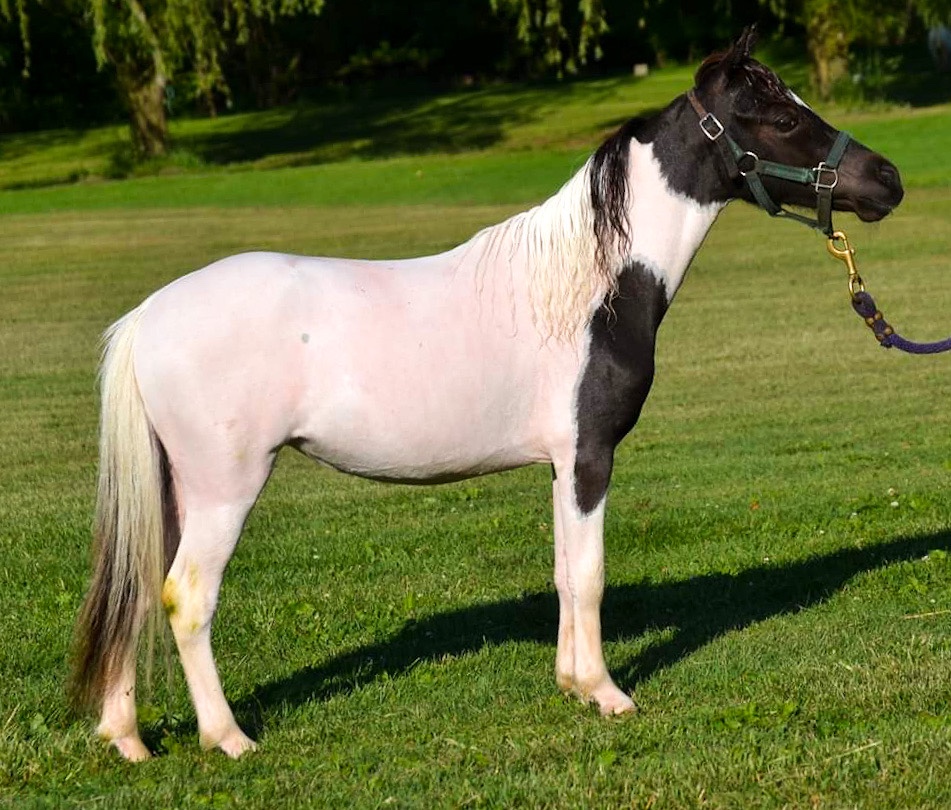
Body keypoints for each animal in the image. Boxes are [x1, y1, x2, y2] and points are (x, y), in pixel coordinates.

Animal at [70, 29, 904, 761]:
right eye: (782, 117)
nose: (887, 181)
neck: (591, 287)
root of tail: (149, 316)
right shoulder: (590, 456)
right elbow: (589, 575)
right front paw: (607, 694)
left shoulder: (560, 465)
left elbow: (565, 572)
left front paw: (573, 685)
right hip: (224, 489)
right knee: (186, 599)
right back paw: (228, 738)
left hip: (171, 489)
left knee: (135, 591)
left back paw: (128, 740)